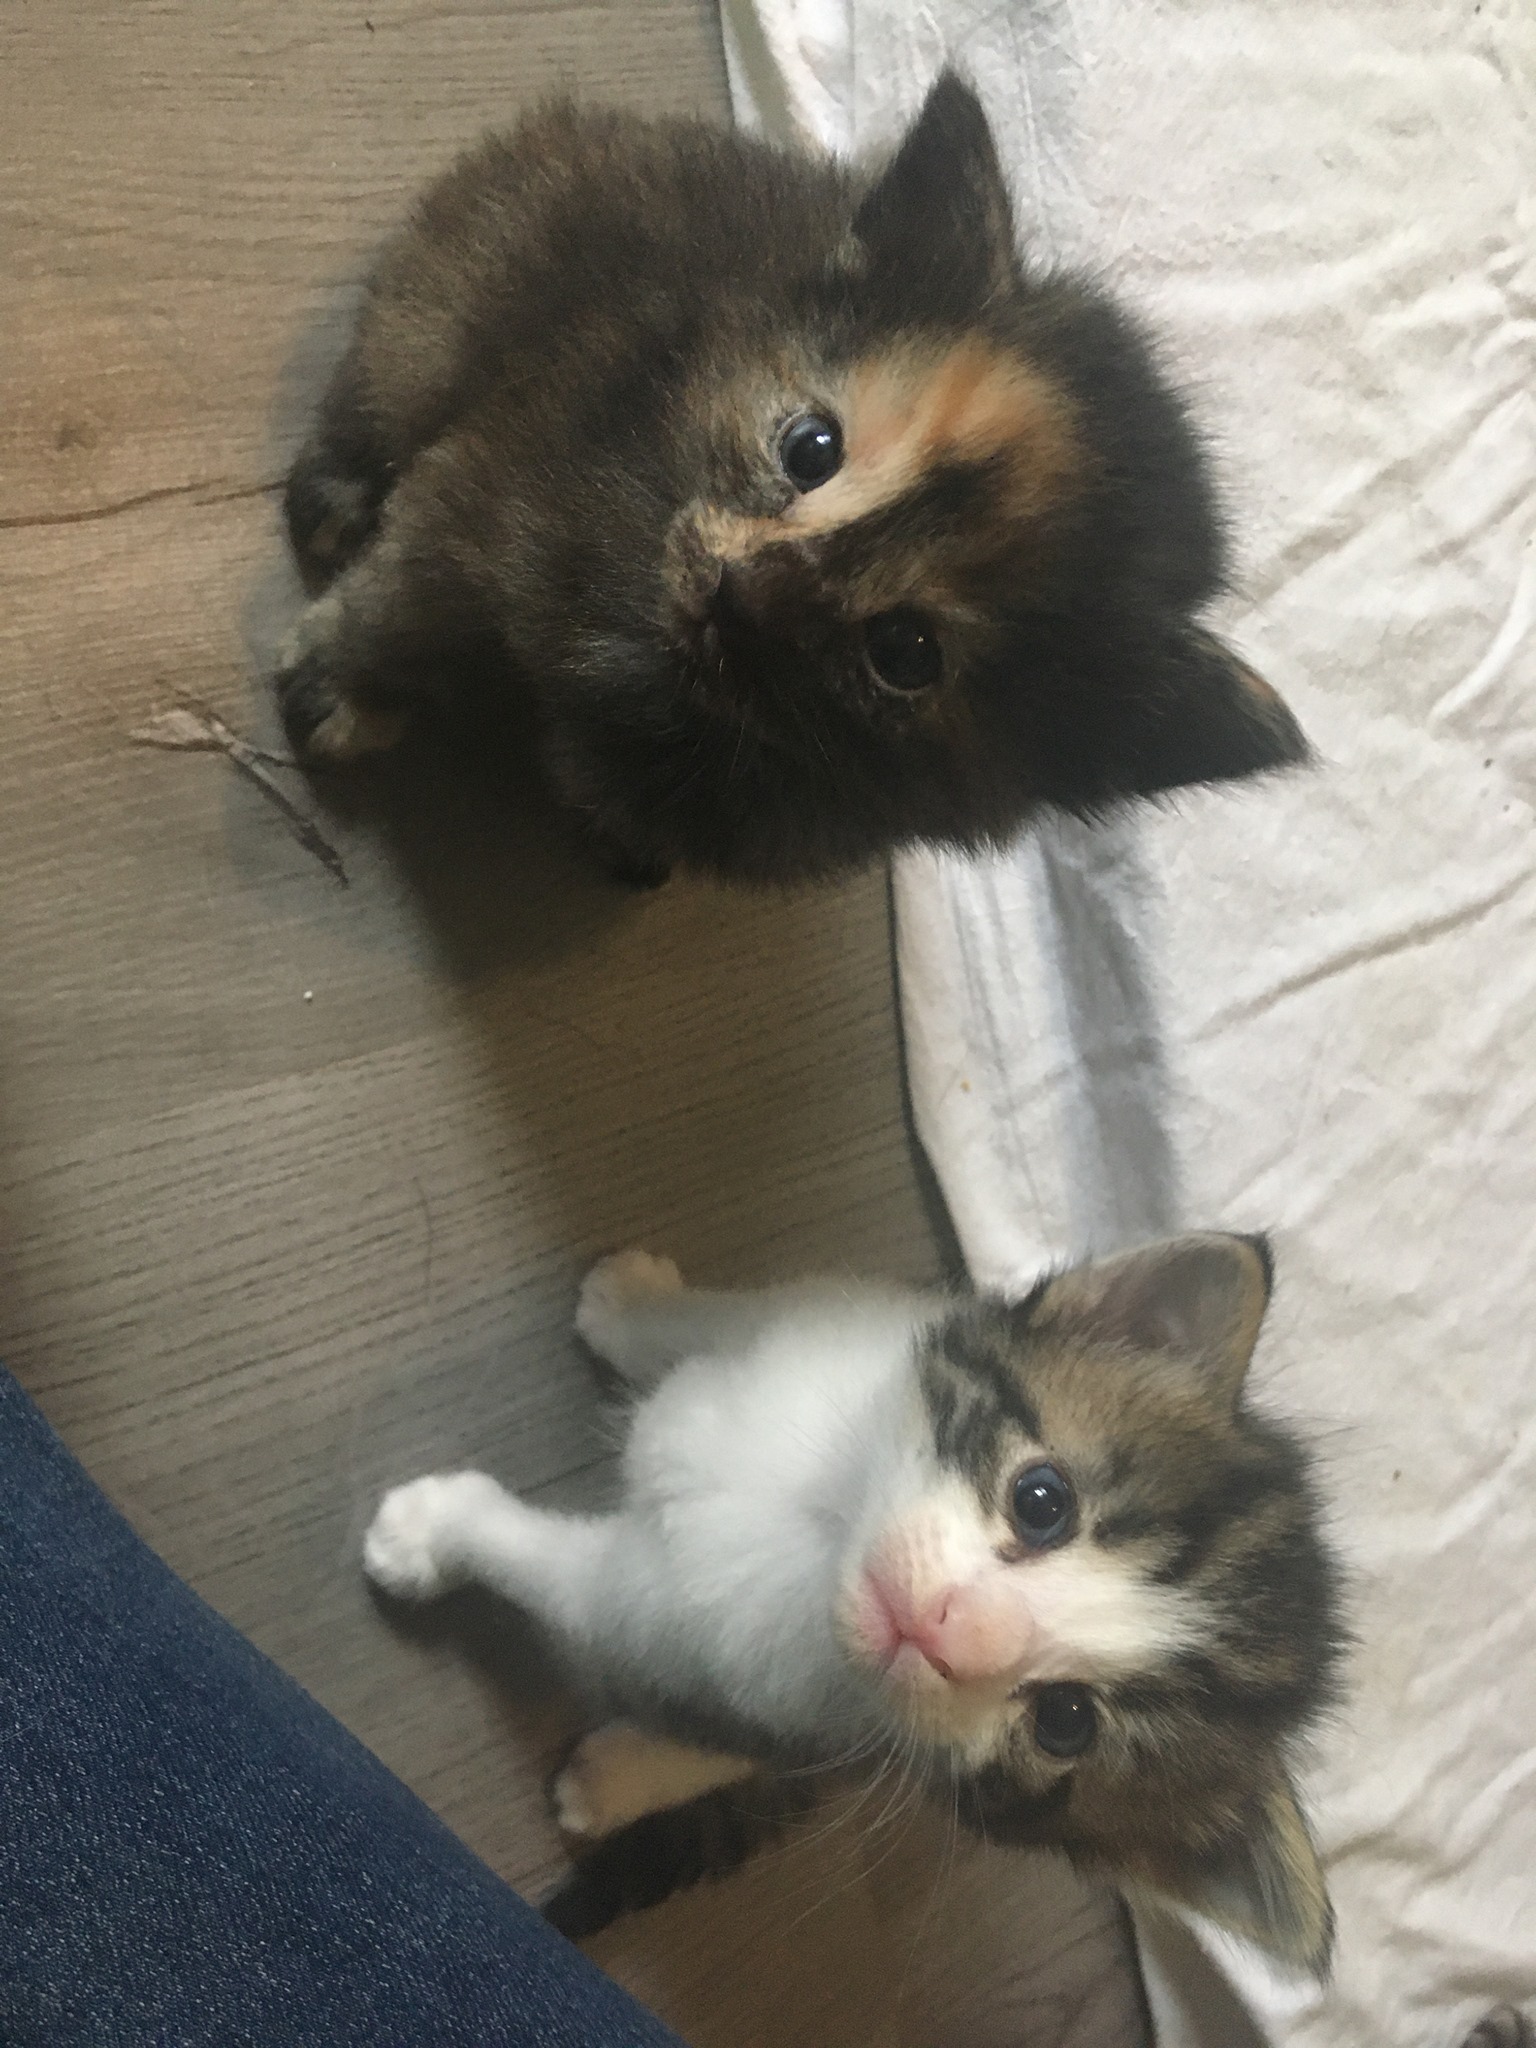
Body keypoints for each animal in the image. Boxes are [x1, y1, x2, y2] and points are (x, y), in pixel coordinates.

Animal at [277, 72, 1307, 888]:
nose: (737, 591)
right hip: (457, 285)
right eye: (810, 448)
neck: (661, 662)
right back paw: (335, 491)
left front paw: (619, 831)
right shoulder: (493, 482)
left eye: (906, 652)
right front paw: (344, 689)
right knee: (389, 374)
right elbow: (405, 604)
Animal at [364, 1231, 1343, 1969]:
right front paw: (629, 1306)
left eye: (1065, 1721)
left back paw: (618, 1774)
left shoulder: (653, 1615)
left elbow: (556, 1572)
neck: (824, 1520)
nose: (947, 1628)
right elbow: (731, 1315)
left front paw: (429, 1535)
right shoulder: (826, 1324)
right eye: (1043, 1500)